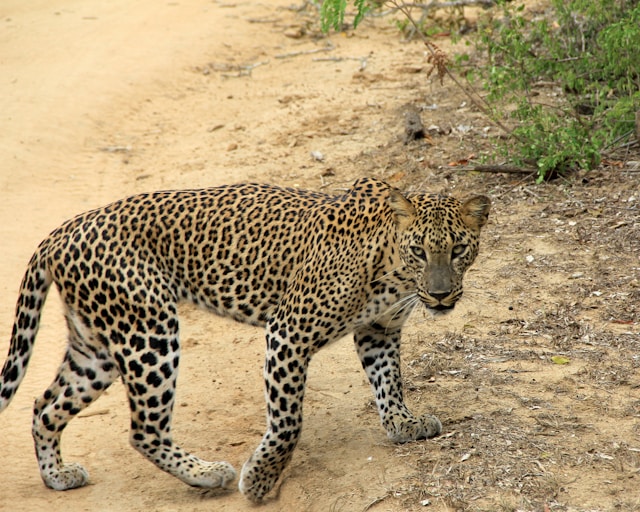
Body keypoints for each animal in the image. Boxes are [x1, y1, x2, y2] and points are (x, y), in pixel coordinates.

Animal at [0, 177, 490, 501]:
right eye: (420, 251)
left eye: (458, 251)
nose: (441, 294)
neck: (393, 271)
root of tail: (60, 232)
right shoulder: (288, 333)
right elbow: (289, 421)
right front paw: (259, 481)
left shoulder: (379, 330)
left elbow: (389, 381)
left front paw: (403, 423)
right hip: (148, 332)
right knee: (143, 429)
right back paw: (207, 473)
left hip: (97, 347)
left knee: (45, 406)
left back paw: (58, 476)